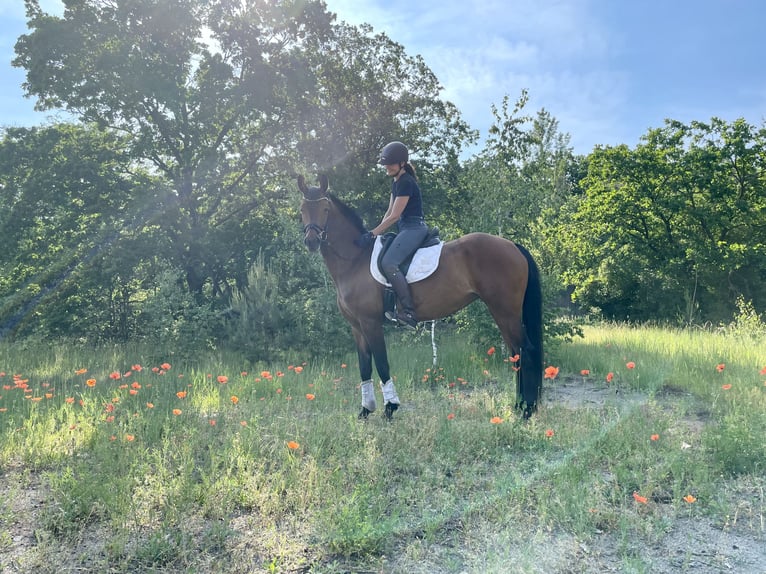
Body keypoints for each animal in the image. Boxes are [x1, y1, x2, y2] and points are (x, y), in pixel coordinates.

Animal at [296, 173, 544, 420]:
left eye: (325, 209)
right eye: (302, 209)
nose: (311, 241)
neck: (355, 260)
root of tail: (513, 246)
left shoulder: (370, 323)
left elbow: (382, 363)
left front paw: (390, 408)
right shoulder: (356, 326)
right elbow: (364, 366)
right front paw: (365, 411)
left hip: (504, 311)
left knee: (526, 352)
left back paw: (527, 411)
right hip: (503, 312)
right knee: (516, 354)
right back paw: (519, 405)